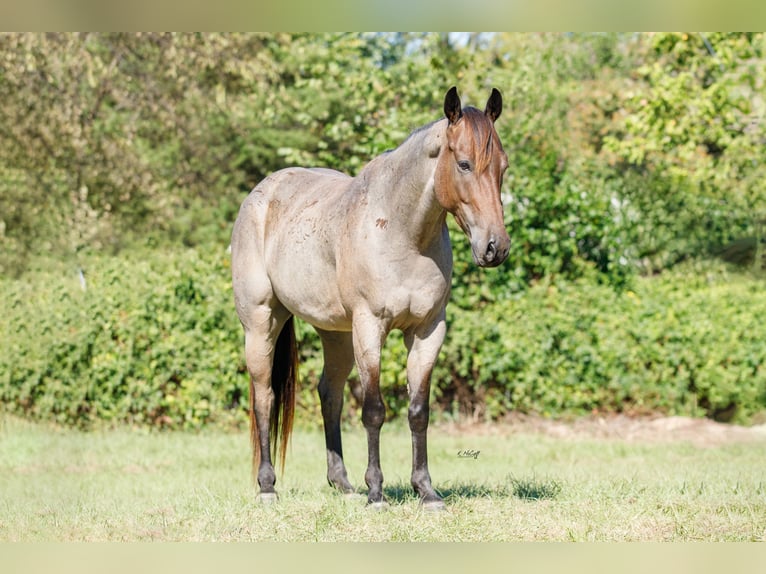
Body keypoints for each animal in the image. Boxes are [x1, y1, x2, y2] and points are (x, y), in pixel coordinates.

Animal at [231, 84, 512, 508]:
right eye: (463, 164)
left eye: (503, 167)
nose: (495, 247)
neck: (402, 230)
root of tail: (260, 194)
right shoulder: (369, 327)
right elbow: (374, 409)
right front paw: (376, 492)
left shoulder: (428, 331)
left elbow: (418, 411)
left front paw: (425, 490)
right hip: (263, 322)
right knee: (264, 396)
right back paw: (268, 487)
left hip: (336, 335)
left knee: (329, 394)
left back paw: (343, 484)